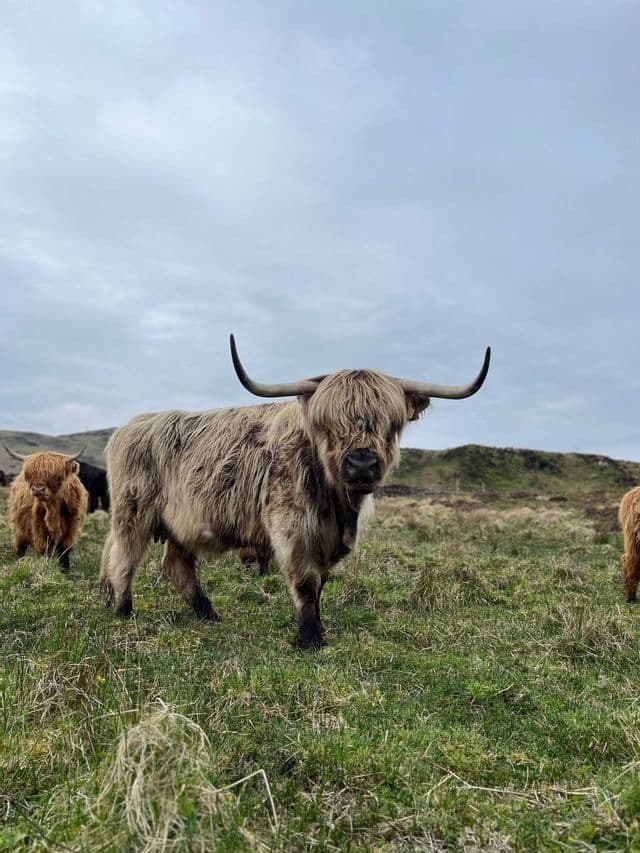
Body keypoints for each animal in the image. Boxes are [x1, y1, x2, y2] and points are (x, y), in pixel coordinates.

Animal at [100, 335, 490, 649]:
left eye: (391, 423)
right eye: (328, 423)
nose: (362, 465)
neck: (338, 504)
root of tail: (131, 425)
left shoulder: (327, 539)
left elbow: (321, 583)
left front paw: (318, 626)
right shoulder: (292, 527)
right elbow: (305, 582)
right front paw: (310, 638)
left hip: (183, 523)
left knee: (176, 565)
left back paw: (207, 614)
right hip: (133, 511)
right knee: (124, 555)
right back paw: (123, 609)